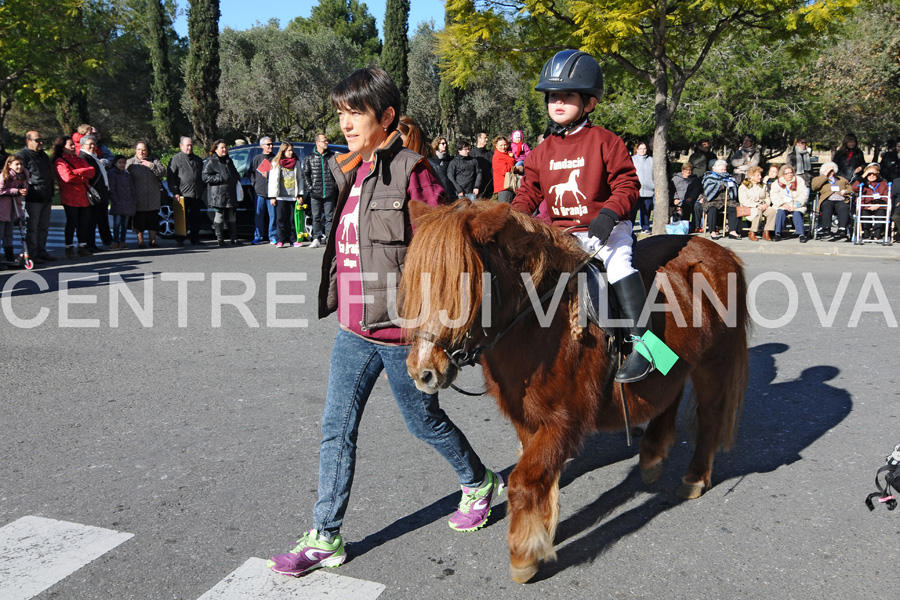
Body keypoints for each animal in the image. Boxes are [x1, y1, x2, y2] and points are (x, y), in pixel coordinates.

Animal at [398, 200, 748, 580]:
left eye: (464, 287)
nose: (422, 371)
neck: (539, 326)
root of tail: (720, 252)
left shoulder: (563, 421)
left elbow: (524, 481)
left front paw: (524, 554)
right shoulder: (527, 419)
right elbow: (541, 479)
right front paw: (544, 529)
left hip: (713, 364)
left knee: (710, 416)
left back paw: (696, 476)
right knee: (668, 395)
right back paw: (653, 454)